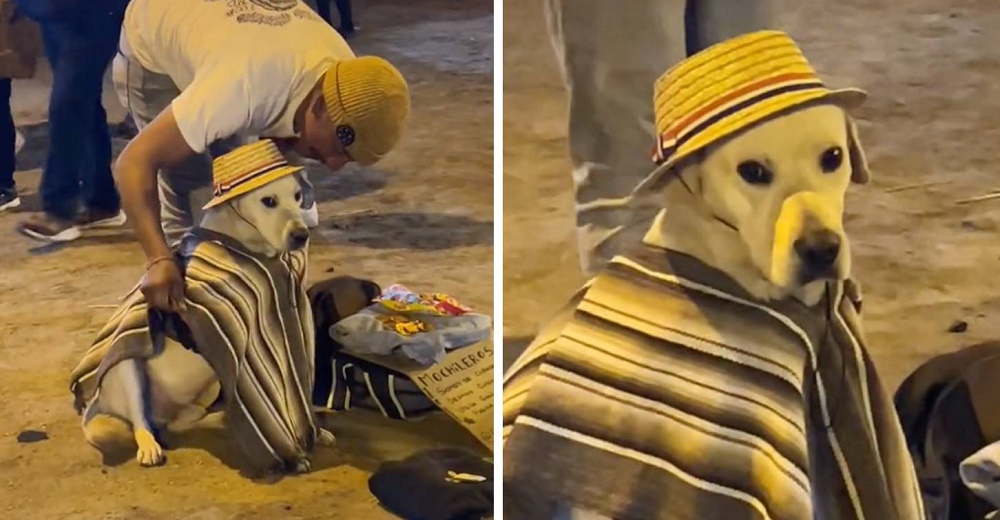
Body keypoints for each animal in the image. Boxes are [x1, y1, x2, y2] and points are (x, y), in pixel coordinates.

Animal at [72, 139, 336, 476]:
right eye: (268, 201)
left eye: (298, 195)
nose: (301, 236)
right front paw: (294, 453)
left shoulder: (292, 323)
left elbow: (299, 393)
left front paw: (317, 432)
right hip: (126, 369)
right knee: (139, 420)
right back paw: (149, 446)